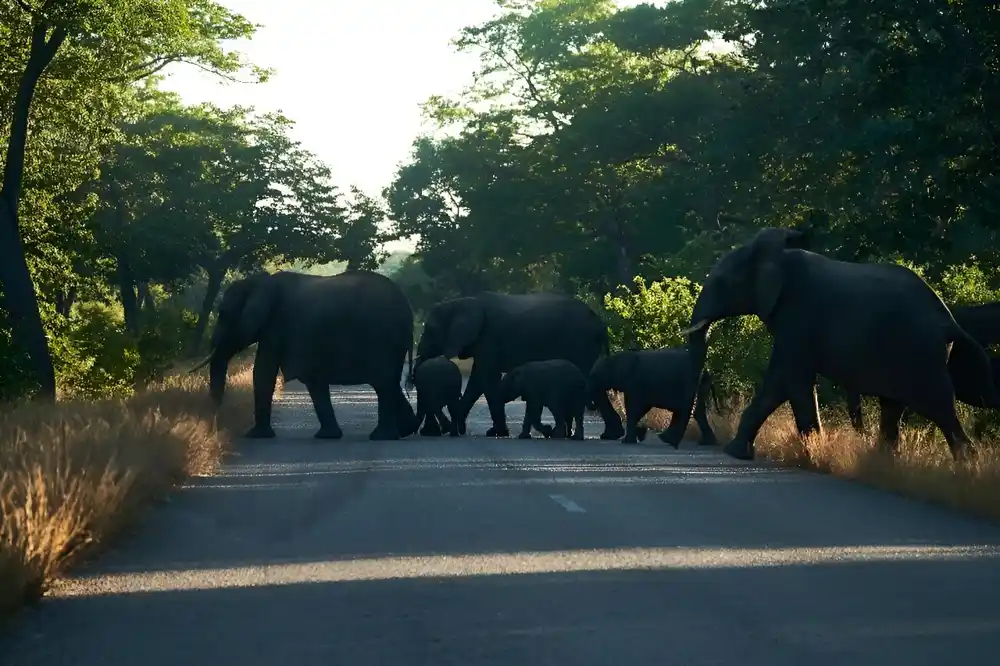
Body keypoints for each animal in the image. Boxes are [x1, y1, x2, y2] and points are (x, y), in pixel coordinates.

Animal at [191, 268, 418, 444]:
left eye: (223, 314)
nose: (214, 419)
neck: (262, 282)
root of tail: (408, 309)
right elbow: (312, 380)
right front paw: (327, 437)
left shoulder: (278, 324)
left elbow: (264, 372)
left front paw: (255, 436)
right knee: (388, 384)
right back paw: (404, 431)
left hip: (384, 341)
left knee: (383, 385)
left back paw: (382, 437)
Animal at [414, 292, 624, 438]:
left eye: (430, 330)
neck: (462, 302)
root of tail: (600, 324)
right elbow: (477, 381)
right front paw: (461, 428)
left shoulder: (488, 339)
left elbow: (486, 378)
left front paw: (497, 433)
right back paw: (610, 435)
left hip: (580, 343)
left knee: (591, 382)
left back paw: (610, 435)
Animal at [584, 348, 720, 446]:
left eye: (594, 375)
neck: (614, 358)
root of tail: (705, 370)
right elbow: (641, 408)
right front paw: (640, 434)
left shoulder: (635, 383)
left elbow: (634, 407)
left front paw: (628, 441)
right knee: (693, 411)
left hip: (686, 384)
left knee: (685, 410)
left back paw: (669, 440)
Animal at [676, 226, 996, 460]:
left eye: (721, 282)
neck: (778, 256)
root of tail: (948, 319)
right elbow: (779, 384)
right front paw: (737, 453)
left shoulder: (798, 316)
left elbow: (793, 381)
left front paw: (813, 456)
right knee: (894, 408)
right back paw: (882, 464)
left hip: (918, 353)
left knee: (939, 408)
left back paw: (967, 469)